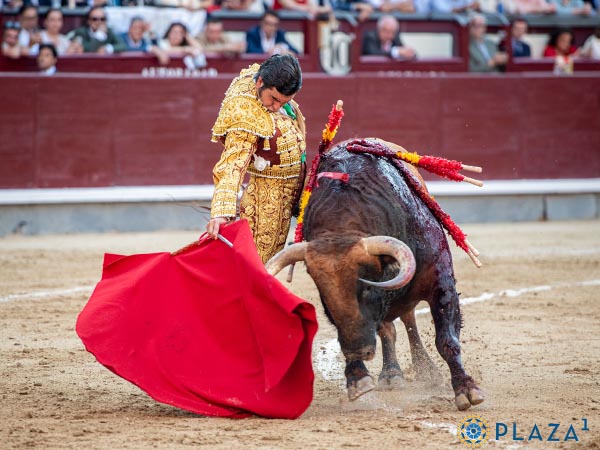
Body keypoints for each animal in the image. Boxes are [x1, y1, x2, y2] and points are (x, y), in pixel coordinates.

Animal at [270, 138, 486, 412]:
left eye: (368, 287)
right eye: (324, 296)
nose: (358, 351)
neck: (344, 227)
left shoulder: (441, 281)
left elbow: (446, 339)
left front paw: (466, 389)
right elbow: (372, 329)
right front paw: (357, 378)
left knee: (409, 323)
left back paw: (426, 371)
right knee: (390, 329)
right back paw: (392, 373)